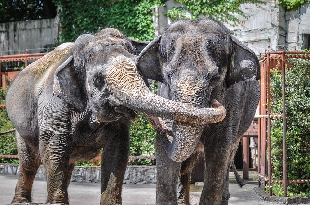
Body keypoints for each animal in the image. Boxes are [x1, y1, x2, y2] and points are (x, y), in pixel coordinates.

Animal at [5, 28, 228, 204]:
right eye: (97, 80)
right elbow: (54, 149)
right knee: (30, 161)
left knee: (66, 163)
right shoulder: (55, 107)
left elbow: (117, 152)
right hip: (21, 129)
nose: (215, 101)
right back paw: (21, 202)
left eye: (139, 69)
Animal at [137, 18, 260, 204]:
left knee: (228, 154)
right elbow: (165, 158)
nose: (159, 126)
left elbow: (219, 150)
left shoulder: (233, 102)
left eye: (215, 78)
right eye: (168, 76)